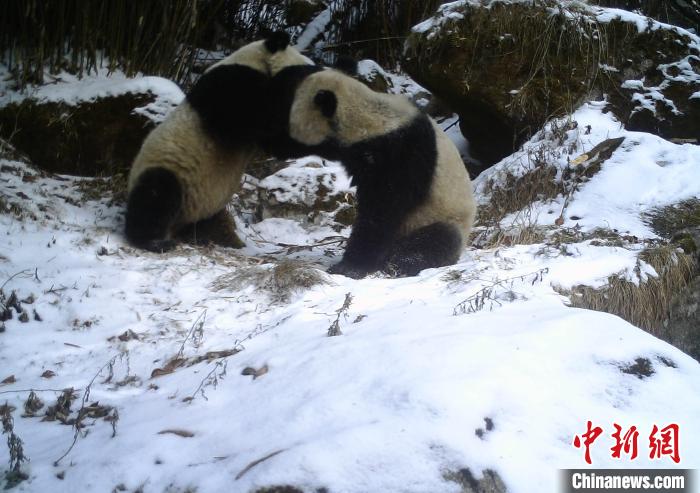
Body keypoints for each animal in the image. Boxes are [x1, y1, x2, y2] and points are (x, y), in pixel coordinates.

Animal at [125, 32, 310, 252]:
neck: (257, 62)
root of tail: (180, 224)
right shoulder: (227, 86)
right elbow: (250, 125)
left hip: (207, 205)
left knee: (212, 222)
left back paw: (219, 240)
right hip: (168, 170)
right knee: (156, 197)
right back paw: (155, 241)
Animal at [265, 66, 476, 278]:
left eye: (287, 123)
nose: (273, 144)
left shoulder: (402, 153)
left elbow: (383, 210)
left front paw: (350, 267)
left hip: (440, 217)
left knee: (435, 240)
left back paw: (400, 263)